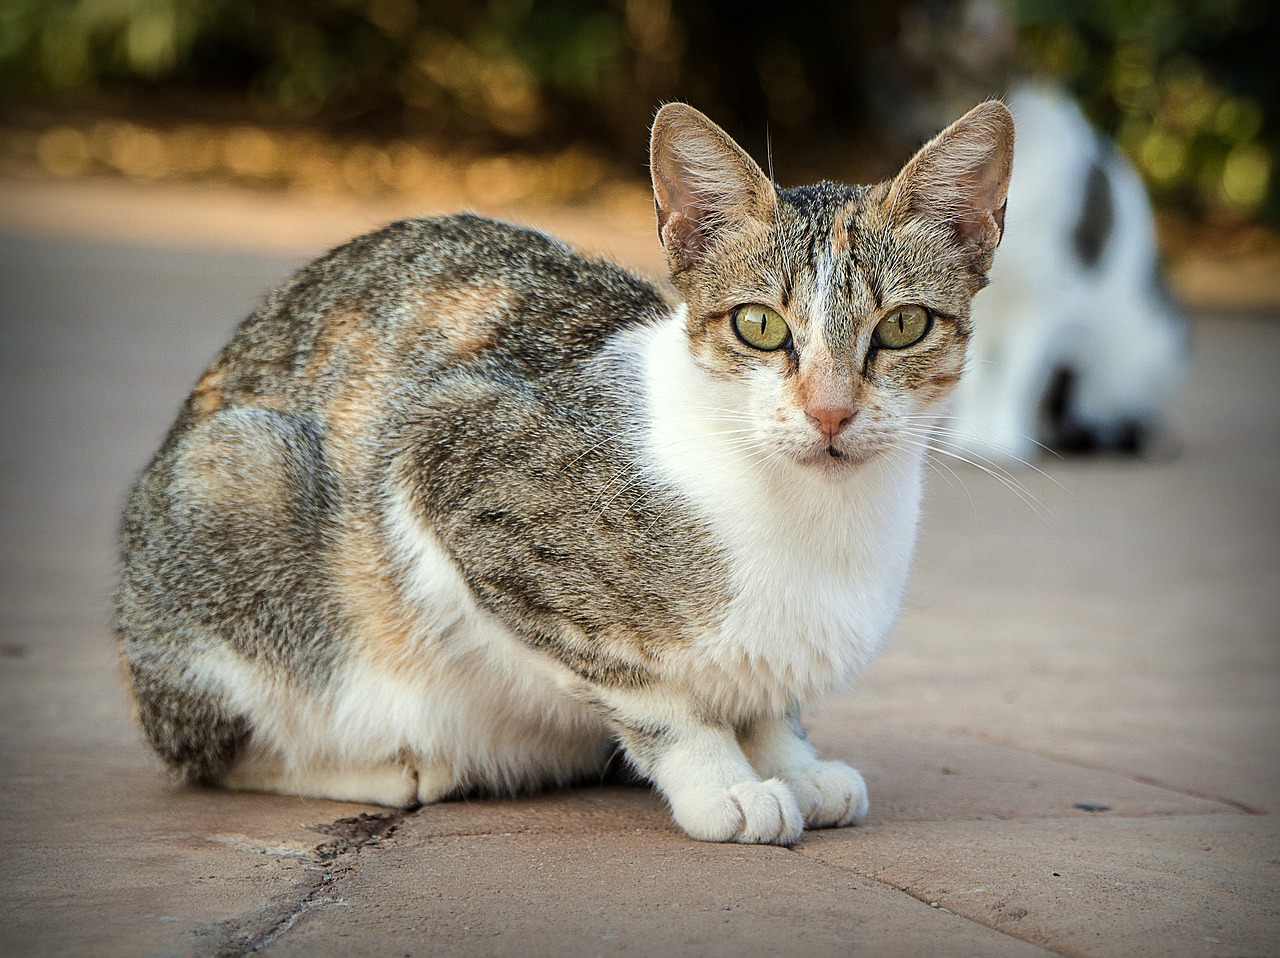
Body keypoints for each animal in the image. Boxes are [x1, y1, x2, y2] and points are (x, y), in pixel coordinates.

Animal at [120, 99, 1013, 845]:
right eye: (760, 325)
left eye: (901, 326)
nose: (831, 412)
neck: (818, 520)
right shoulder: (452, 451)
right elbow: (650, 690)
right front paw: (723, 780)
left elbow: (761, 688)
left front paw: (789, 760)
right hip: (239, 476)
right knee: (211, 756)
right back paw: (393, 769)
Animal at [947, 83, 1182, 461]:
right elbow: (979, 375)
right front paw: (973, 437)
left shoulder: (1048, 295)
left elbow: (1018, 373)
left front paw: (1004, 441)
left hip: (1145, 345)